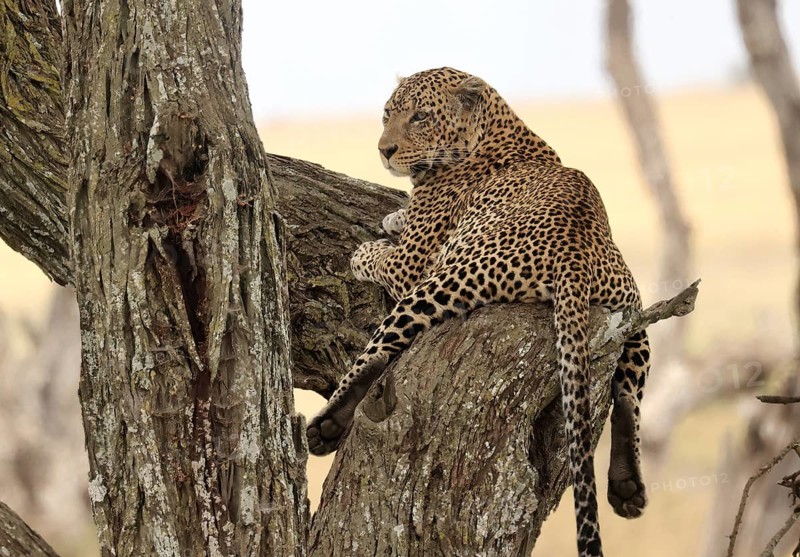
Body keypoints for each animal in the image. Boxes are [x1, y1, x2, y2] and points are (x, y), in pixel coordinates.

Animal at [306, 67, 651, 557]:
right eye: (387, 115)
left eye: (420, 117)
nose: (384, 150)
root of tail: (574, 255)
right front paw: (393, 216)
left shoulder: (411, 262)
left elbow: (378, 255)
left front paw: (365, 248)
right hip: (634, 313)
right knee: (628, 396)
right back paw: (625, 485)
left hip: (437, 283)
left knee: (377, 350)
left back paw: (329, 423)